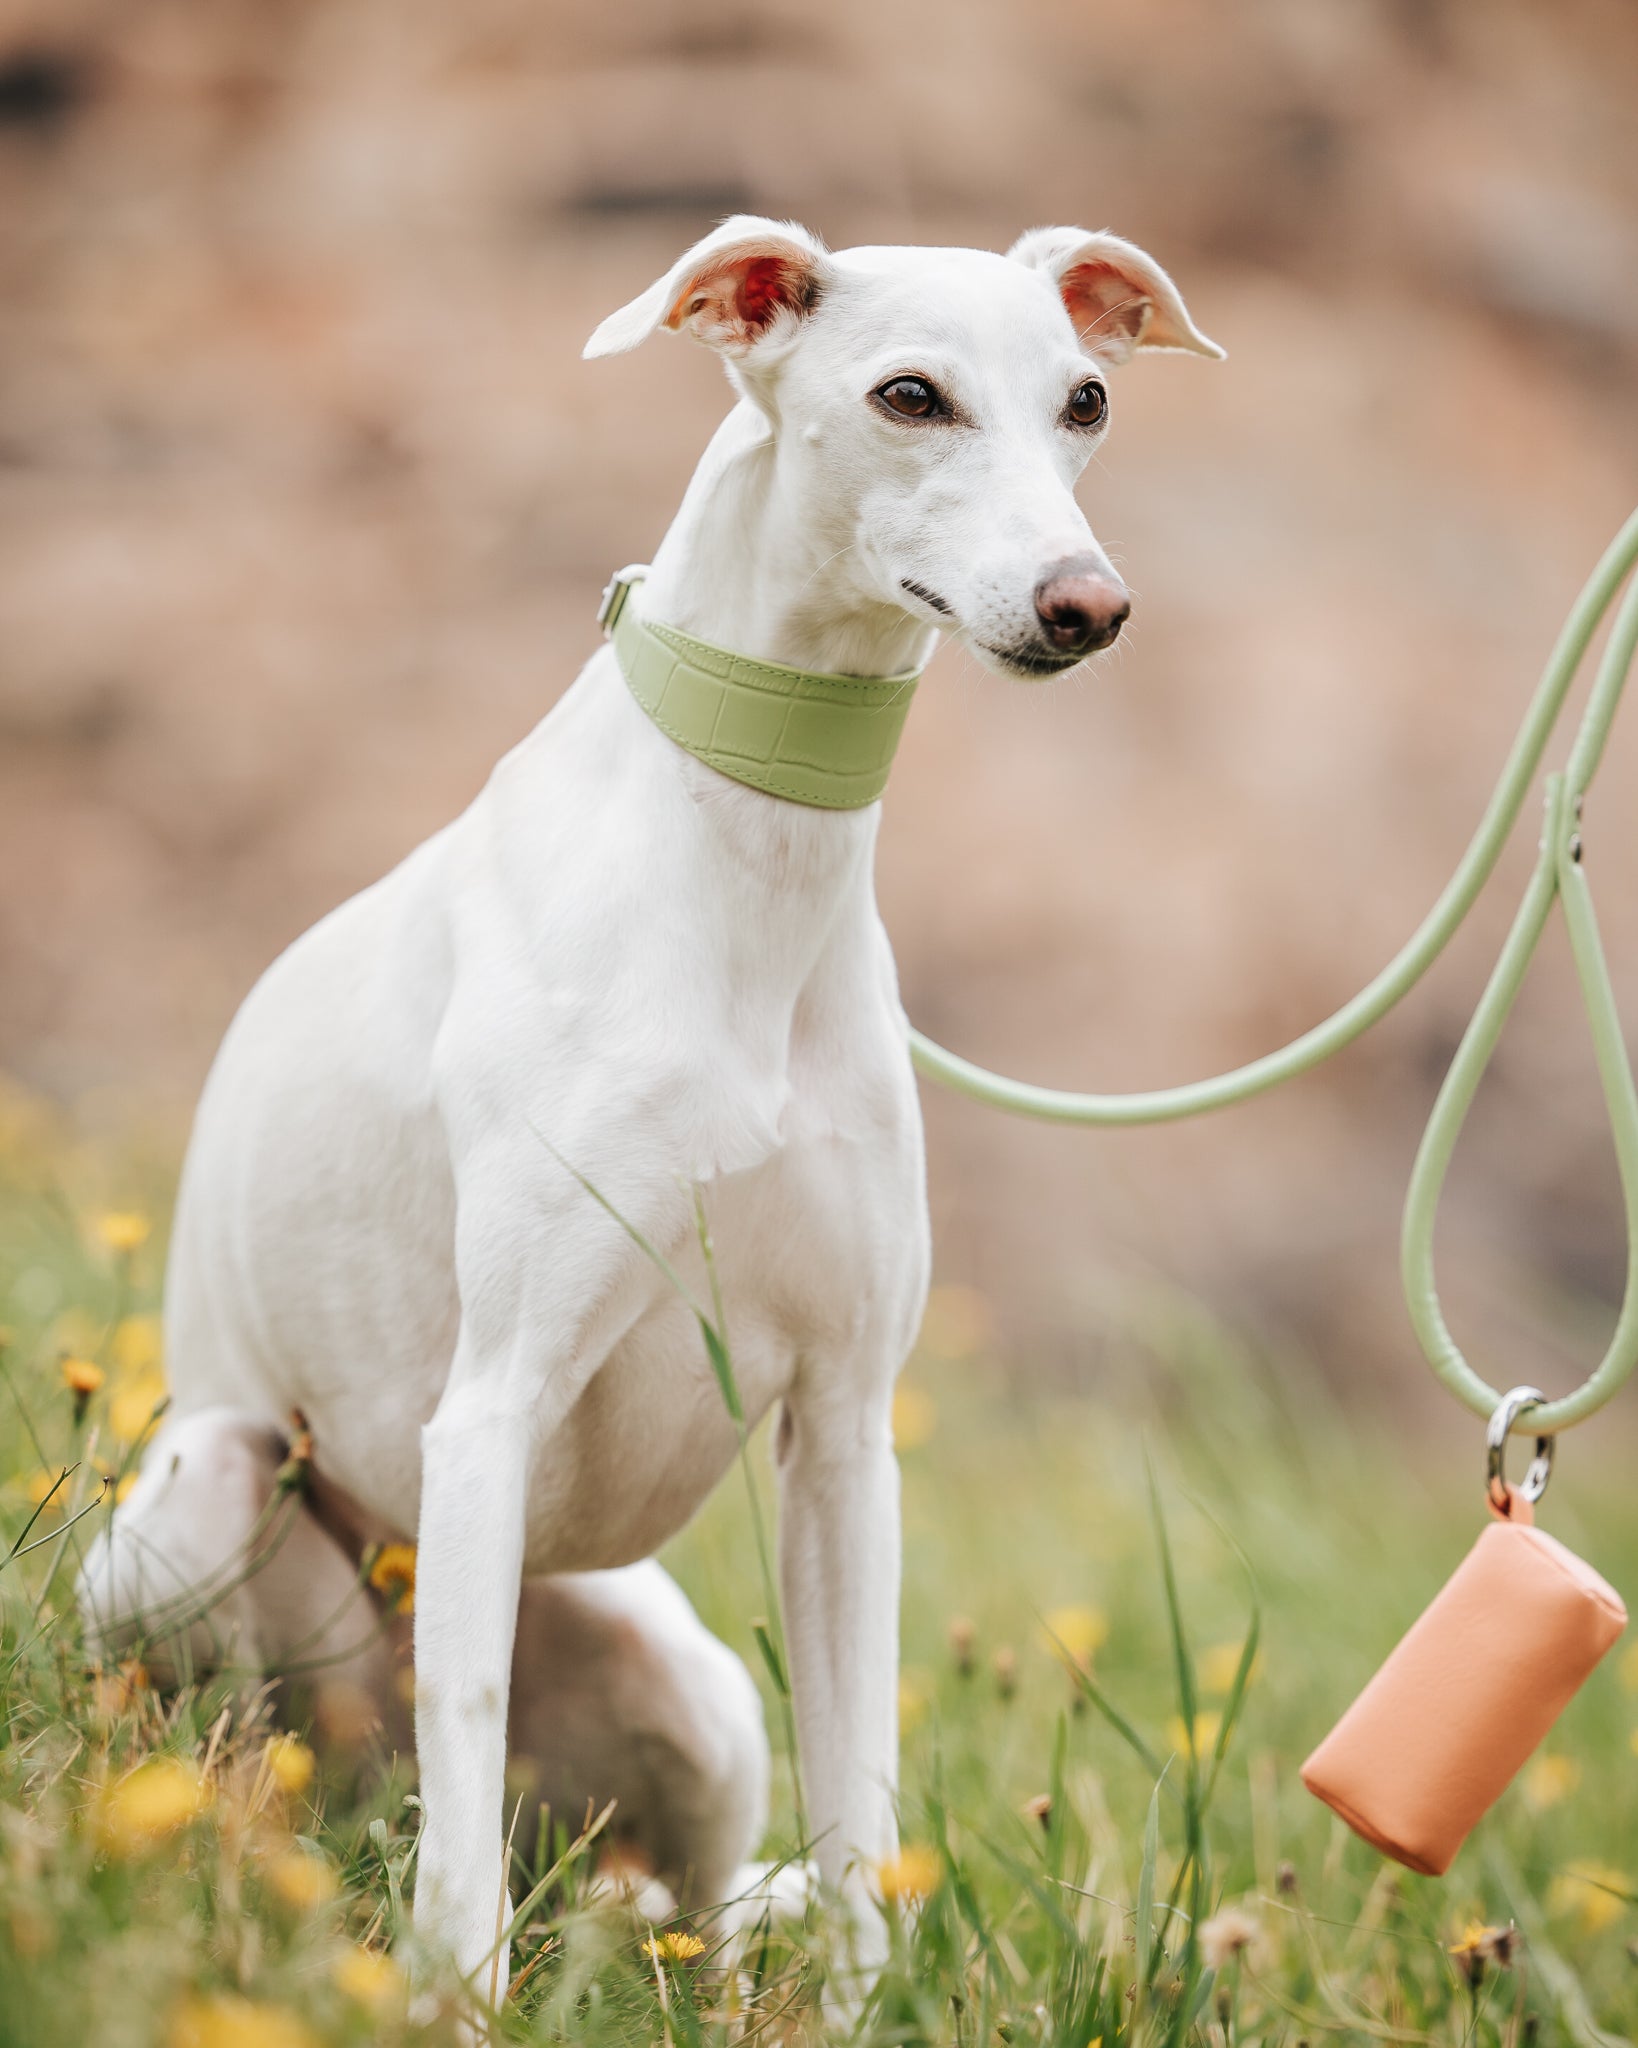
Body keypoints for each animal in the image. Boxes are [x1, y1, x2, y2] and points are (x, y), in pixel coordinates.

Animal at [82, 216, 1220, 2007]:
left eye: (1087, 399)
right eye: (910, 395)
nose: (1085, 605)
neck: (746, 852)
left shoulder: (846, 1440)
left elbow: (857, 1789)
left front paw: (860, 2012)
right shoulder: (485, 1413)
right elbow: (469, 1741)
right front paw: (455, 2005)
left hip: (690, 1693)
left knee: (679, 1894)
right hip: (206, 1505)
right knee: (294, 1763)